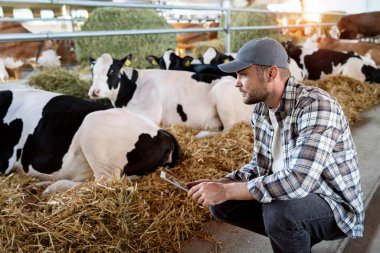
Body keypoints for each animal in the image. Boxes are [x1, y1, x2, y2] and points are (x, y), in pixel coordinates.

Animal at [87, 52, 251, 137]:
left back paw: (202, 134)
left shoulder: (150, 116)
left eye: (112, 70)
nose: (94, 91)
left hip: (223, 100)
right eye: (92, 71)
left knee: (227, 130)